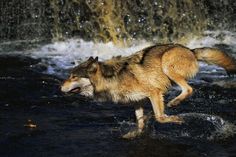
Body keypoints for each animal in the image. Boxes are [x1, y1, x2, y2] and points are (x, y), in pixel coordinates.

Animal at [60, 43, 236, 138]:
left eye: (73, 76)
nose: (59, 87)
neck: (111, 78)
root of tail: (190, 50)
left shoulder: (154, 93)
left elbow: (159, 117)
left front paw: (176, 119)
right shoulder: (137, 102)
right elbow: (140, 124)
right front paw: (133, 134)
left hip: (167, 65)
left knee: (189, 89)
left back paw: (174, 102)